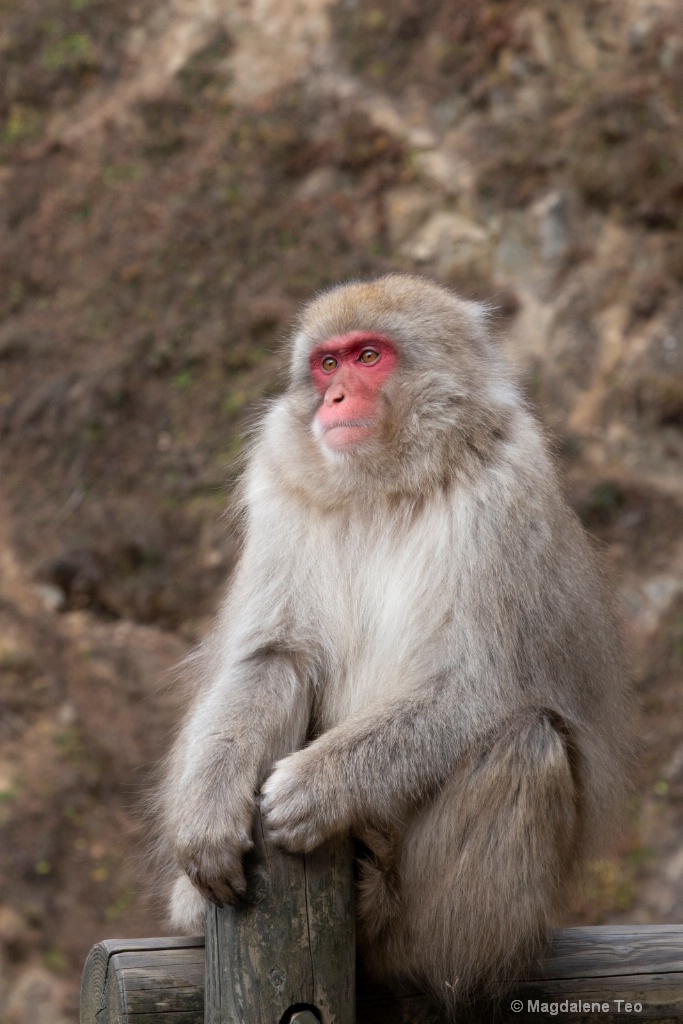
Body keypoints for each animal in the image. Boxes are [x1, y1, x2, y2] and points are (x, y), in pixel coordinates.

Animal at [157, 272, 634, 1015]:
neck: (387, 482)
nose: (333, 399)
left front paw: (317, 787)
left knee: (526, 745)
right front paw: (209, 810)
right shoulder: (280, 483)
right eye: (326, 363)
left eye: (368, 357)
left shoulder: (506, 493)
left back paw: (413, 940)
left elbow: (479, 687)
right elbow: (273, 656)